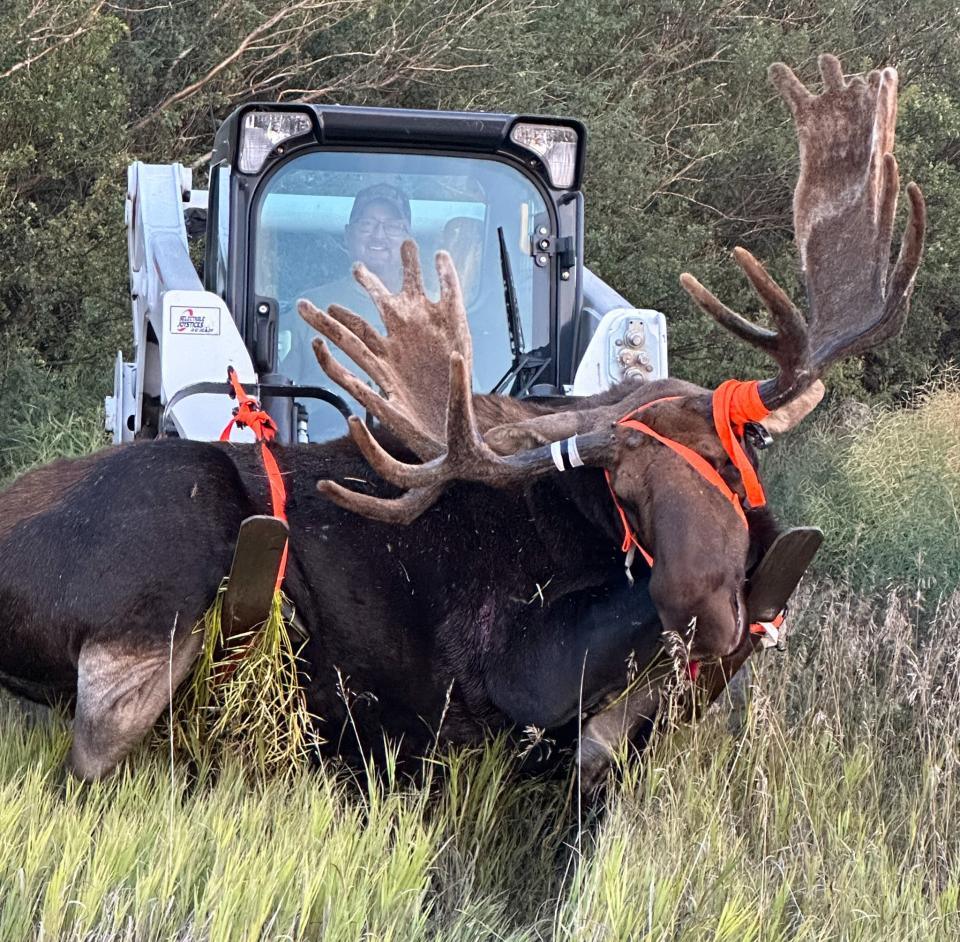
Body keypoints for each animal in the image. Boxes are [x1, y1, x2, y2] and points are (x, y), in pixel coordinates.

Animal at [0, 55, 924, 784]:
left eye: (741, 449)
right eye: (621, 482)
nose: (702, 609)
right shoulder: (511, 674)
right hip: (163, 574)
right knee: (91, 759)